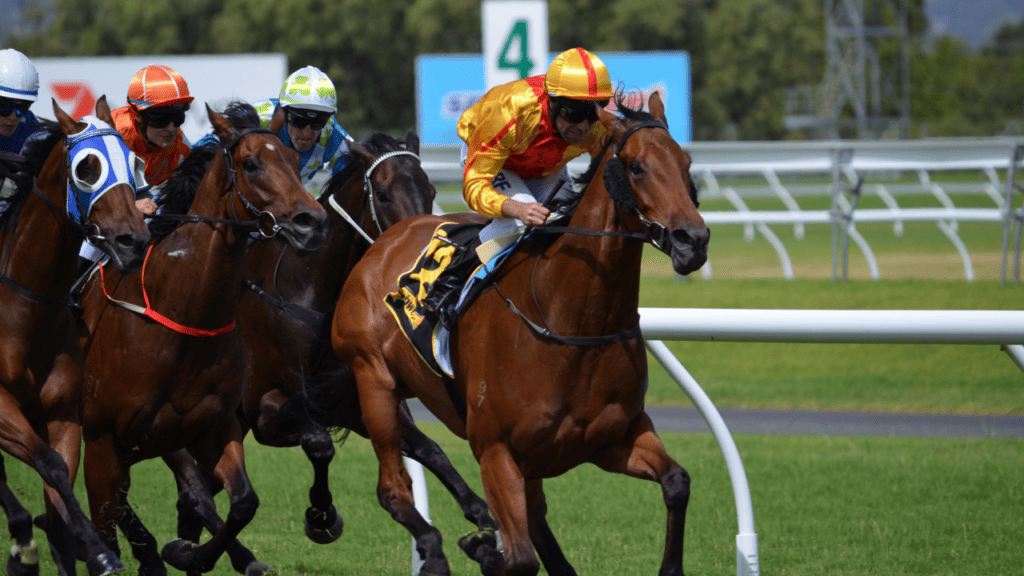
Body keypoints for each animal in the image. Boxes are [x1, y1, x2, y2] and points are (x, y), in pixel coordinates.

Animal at [0, 97, 150, 573]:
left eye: (136, 163)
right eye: (87, 168)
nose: (133, 241)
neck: (24, 311)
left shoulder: (63, 412)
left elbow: (60, 482)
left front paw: (84, 548)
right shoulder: (1, 406)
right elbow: (48, 464)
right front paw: (96, 549)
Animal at [78, 103, 327, 573]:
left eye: (293, 160)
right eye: (251, 164)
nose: (313, 223)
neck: (183, 318)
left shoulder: (213, 428)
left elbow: (242, 501)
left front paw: (190, 552)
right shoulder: (105, 440)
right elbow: (112, 512)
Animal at [323, 91, 708, 569]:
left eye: (686, 162)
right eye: (636, 166)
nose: (693, 241)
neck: (569, 322)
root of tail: (383, 240)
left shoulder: (614, 439)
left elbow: (677, 482)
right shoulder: (496, 452)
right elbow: (521, 558)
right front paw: (485, 548)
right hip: (373, 381)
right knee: (393, 490)